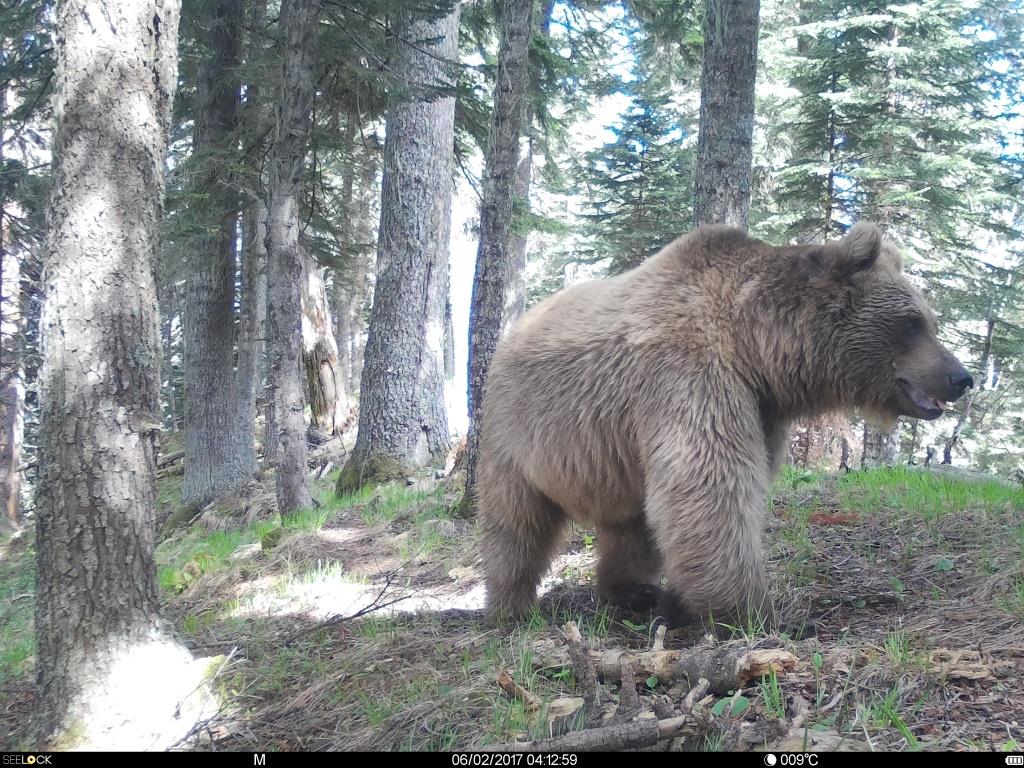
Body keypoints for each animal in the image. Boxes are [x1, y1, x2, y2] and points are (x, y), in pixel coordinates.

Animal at [475, 219, 970, 626]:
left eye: (930, 320)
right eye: (912, 322)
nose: (961, 377)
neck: (753, 347)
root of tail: (515, 328)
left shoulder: (761, 410)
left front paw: (684, 603)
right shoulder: (691, 380)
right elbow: (711, 488)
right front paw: (757, 611)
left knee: (631, 525)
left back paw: (632, 592)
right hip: (516, 429)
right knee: (515, 521)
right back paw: (512, 607)